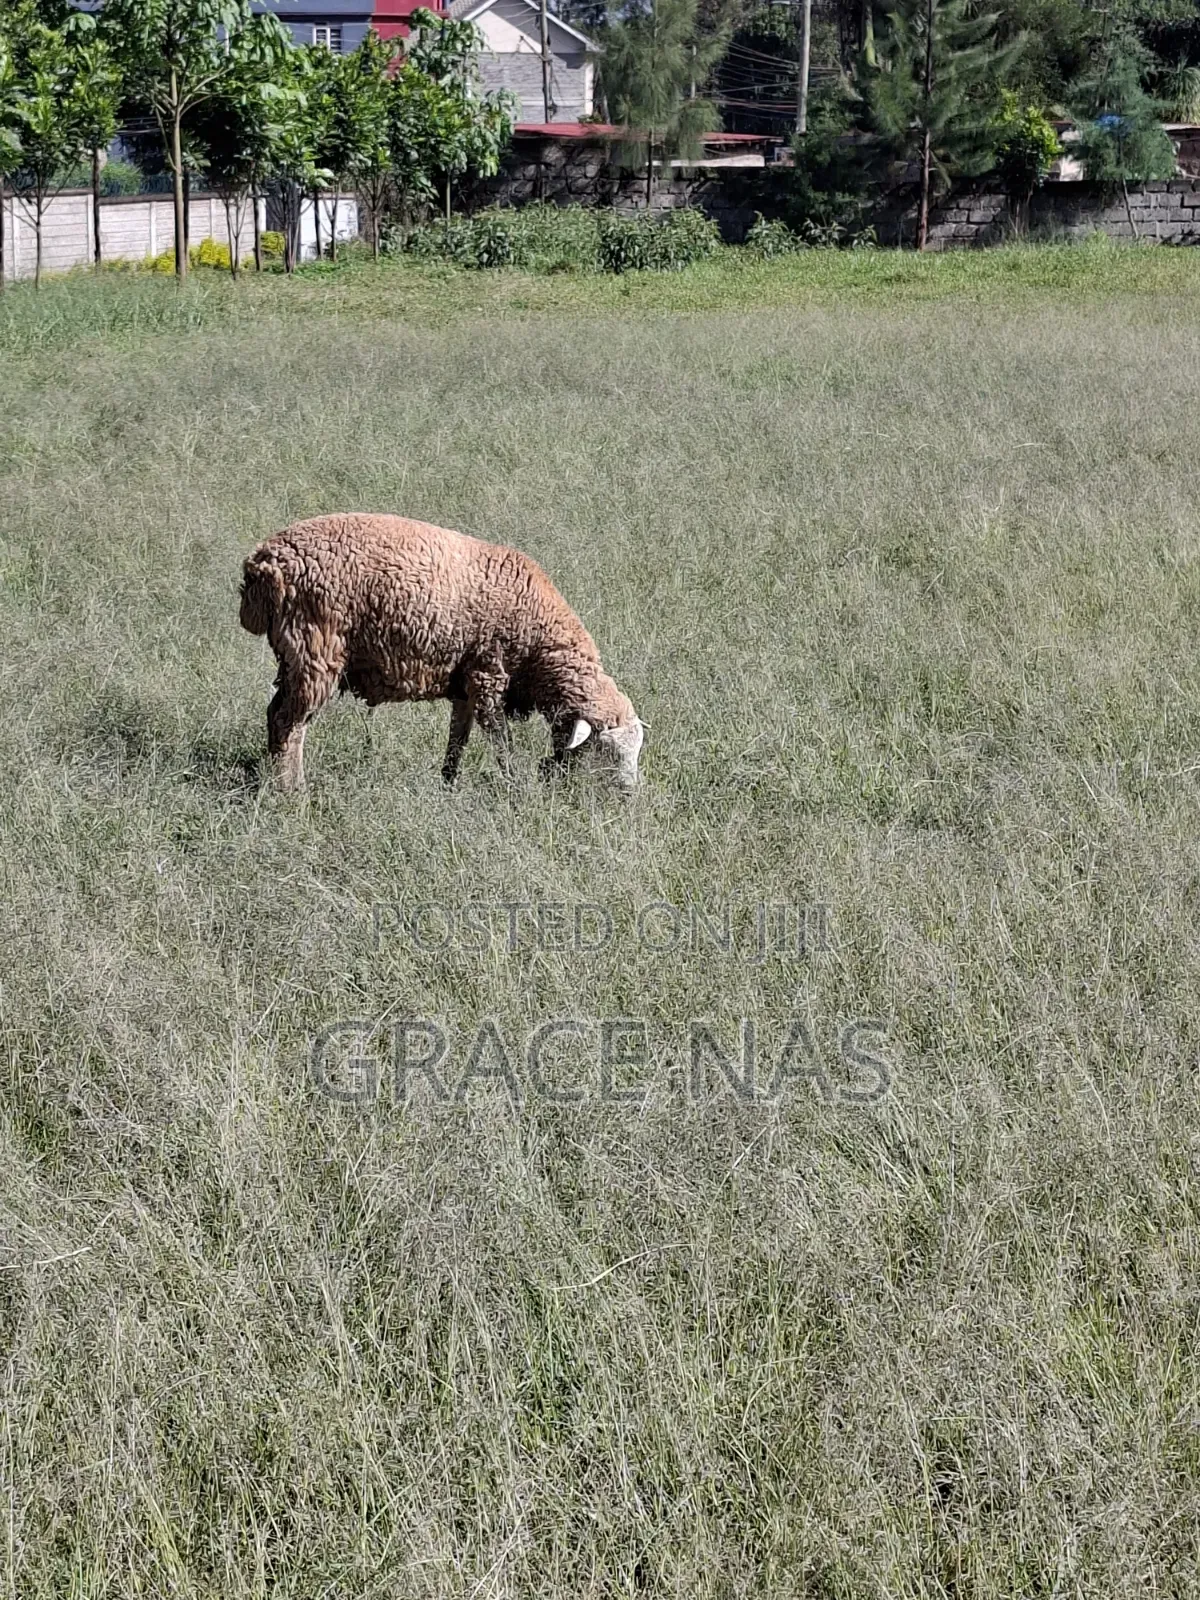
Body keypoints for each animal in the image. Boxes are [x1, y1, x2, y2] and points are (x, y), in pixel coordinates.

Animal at [239, 513, 645, 793]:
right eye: (608, 752)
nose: (629, 794)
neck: (540, 649)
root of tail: (262, 563)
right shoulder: (487, 674)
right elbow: (501, 741)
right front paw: (513, 785)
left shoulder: (465, 683)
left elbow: (458, 739)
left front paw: (448, 783)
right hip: (315, 650)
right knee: (290, 723)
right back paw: (293, 790)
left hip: (295, 656)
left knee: (276, 715)